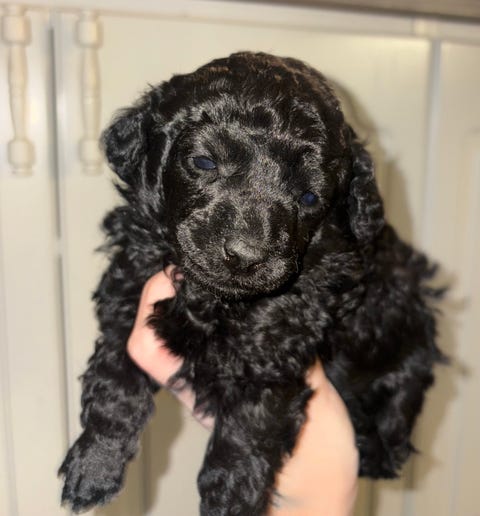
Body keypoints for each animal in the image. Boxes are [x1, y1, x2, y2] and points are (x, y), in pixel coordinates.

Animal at [59, 52, 443, 515]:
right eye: (204, 163)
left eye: (309, 198)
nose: (246, 256)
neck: (211, 298)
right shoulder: (129, 294)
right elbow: (115, 382)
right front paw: (94, 465)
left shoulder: (276, 346)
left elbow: (248, 430)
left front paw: (228, 499)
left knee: (401, 402)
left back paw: (378, 450)